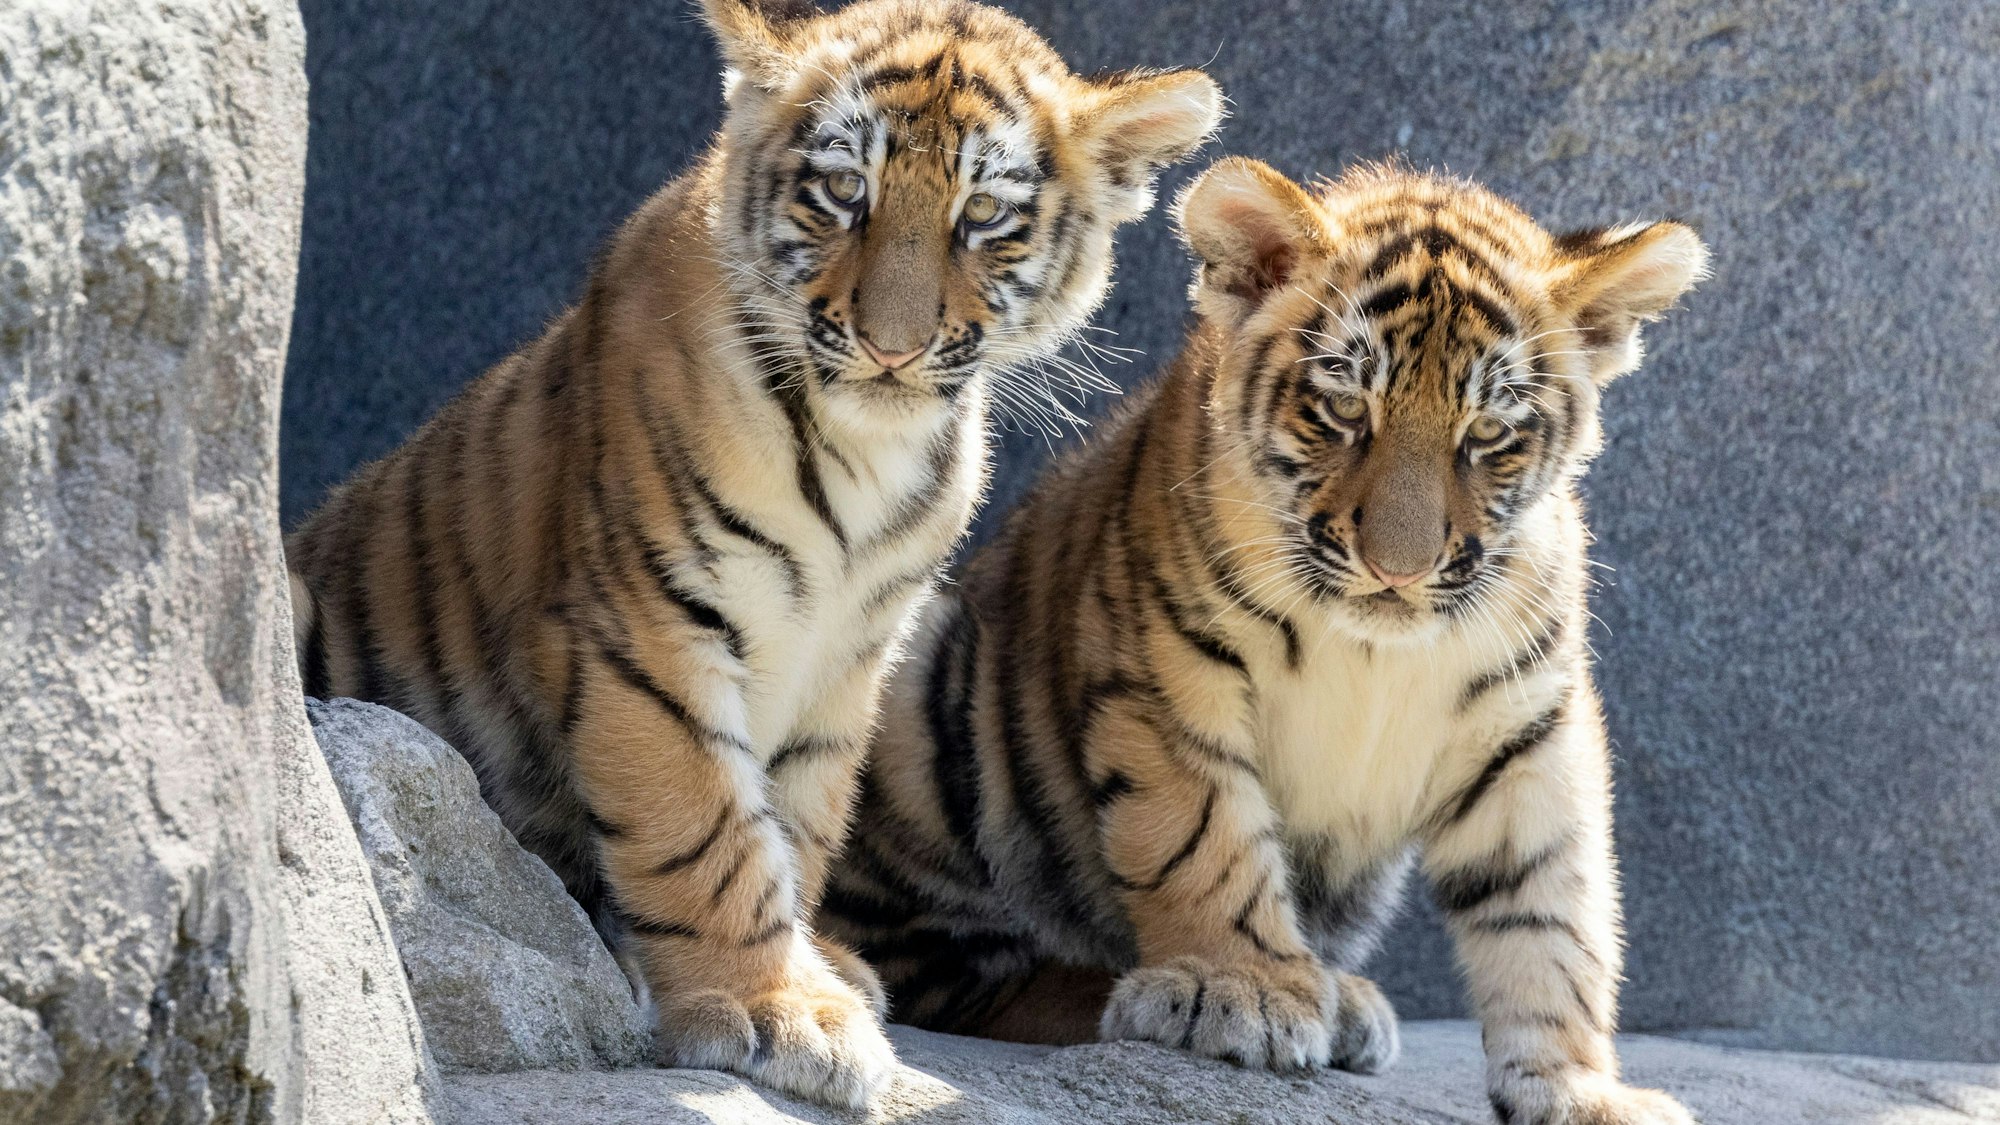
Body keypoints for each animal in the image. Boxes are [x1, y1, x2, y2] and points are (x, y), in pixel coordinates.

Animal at [282, 0, 1221, 1106]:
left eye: (984, 213)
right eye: (844, 191)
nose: (893, 347)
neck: (868, 453)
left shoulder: (849, 650)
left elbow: (795, 816)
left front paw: (816, 969)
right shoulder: (651, 623)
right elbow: (703, 825)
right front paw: (771, 1008)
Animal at [819, 156, 1709, 1124]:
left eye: (1487, 434)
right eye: (1345, 408)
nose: (1398, 569)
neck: (1376, 648)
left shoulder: (1528, 729)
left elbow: (1553, 916)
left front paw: (1580, 1087)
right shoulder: (1168, 675)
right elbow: (1202, 838)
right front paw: (1239, 988)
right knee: (942, 971)